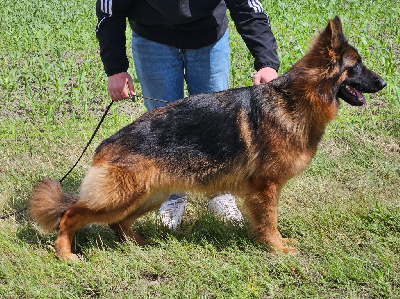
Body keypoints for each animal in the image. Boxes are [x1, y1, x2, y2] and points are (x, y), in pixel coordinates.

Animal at [28, 17, 384, 260]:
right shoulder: (265, 188)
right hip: (121, 197)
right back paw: (66, 254)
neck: (295, 98)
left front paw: (274, 244)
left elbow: (266, 221)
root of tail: (105, 145)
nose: (382, 83)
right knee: (70, 215)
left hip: (148, 195)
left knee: (118, 223)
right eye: (356, 66)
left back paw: (138, 244)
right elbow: (269, 222)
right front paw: (277, 248)